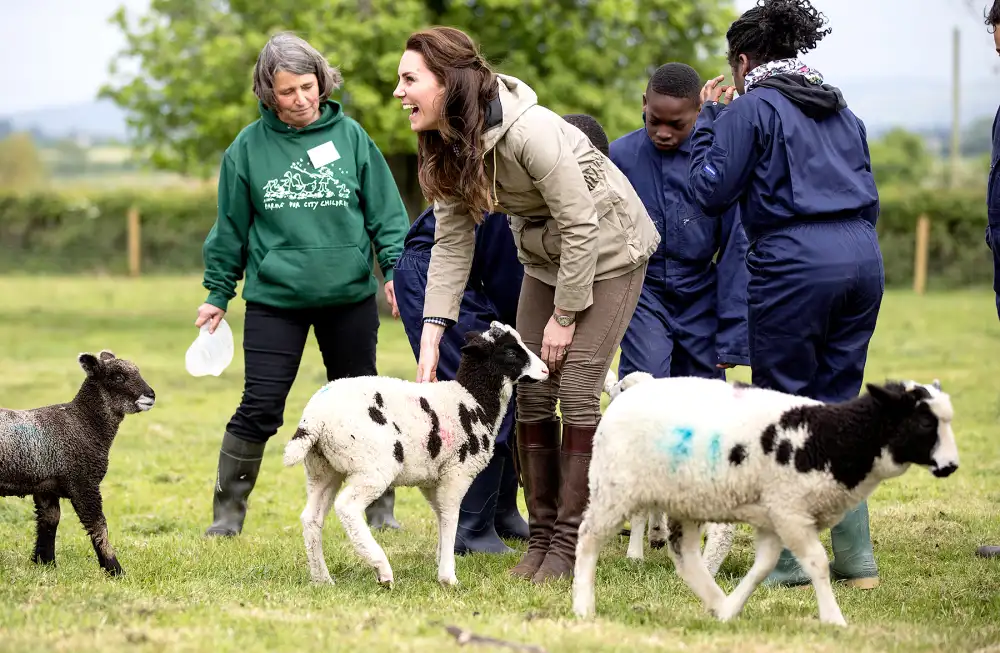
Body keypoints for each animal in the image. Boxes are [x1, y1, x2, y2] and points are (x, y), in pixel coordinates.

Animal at [0, 350, 156, 576]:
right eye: (117, 377)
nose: (151, 396)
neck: (83, 422)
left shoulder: (46, 486)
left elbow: (50, 520)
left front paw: (46, 563)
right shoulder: (84, 482)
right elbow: (98, 525)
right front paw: (115, 570)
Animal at [283, 321, 548, 587]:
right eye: (511, 352)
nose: (546, 370)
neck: (475, 400)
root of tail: (314, 419)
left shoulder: (431, 480)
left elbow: (440, 516)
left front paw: (441, 561)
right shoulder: (456, 473)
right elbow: (450, 517)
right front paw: (448, 576)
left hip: (323, 468)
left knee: (311, 518)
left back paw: (322, 578)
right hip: (372, 467)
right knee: (347, 507)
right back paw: (382, 568)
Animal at [601, 370, 736, 574]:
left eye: (623, 388)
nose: (611, 387)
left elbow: (639, 515)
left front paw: (634, 556)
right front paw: (657, 533)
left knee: (723, 530)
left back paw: (706, 567)